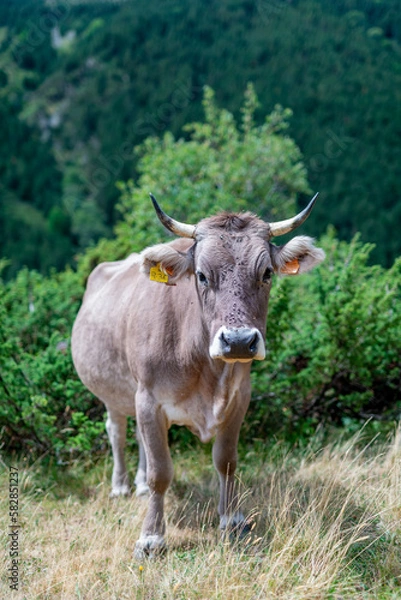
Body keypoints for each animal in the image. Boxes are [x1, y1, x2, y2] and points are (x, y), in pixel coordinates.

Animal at [70, 195, 324, 560]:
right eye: (202, 275)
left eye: (266, 273)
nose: (238, 341)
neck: (206, 371)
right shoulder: (150, 398)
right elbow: (162, 471)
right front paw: (151, 537)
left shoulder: (239, 397)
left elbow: (226, 461)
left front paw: (232, 520)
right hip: (114, 392)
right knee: (116, 431)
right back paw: (120, 486)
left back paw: (139, 483)